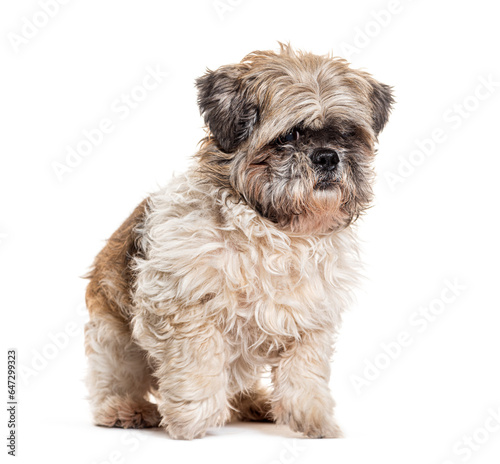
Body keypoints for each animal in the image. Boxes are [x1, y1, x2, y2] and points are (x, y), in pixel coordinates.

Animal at [83, 43, 394, 438]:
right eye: (289, 136)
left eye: (345, 135)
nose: (327, 157)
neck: (276, 231)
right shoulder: (182, 305)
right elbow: (198, 359)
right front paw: (194, 417)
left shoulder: (311, 319)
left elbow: (305, 372)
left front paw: (312, 417)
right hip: (114, 340)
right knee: (113, 379)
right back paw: (124, 408)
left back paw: (251, 402)